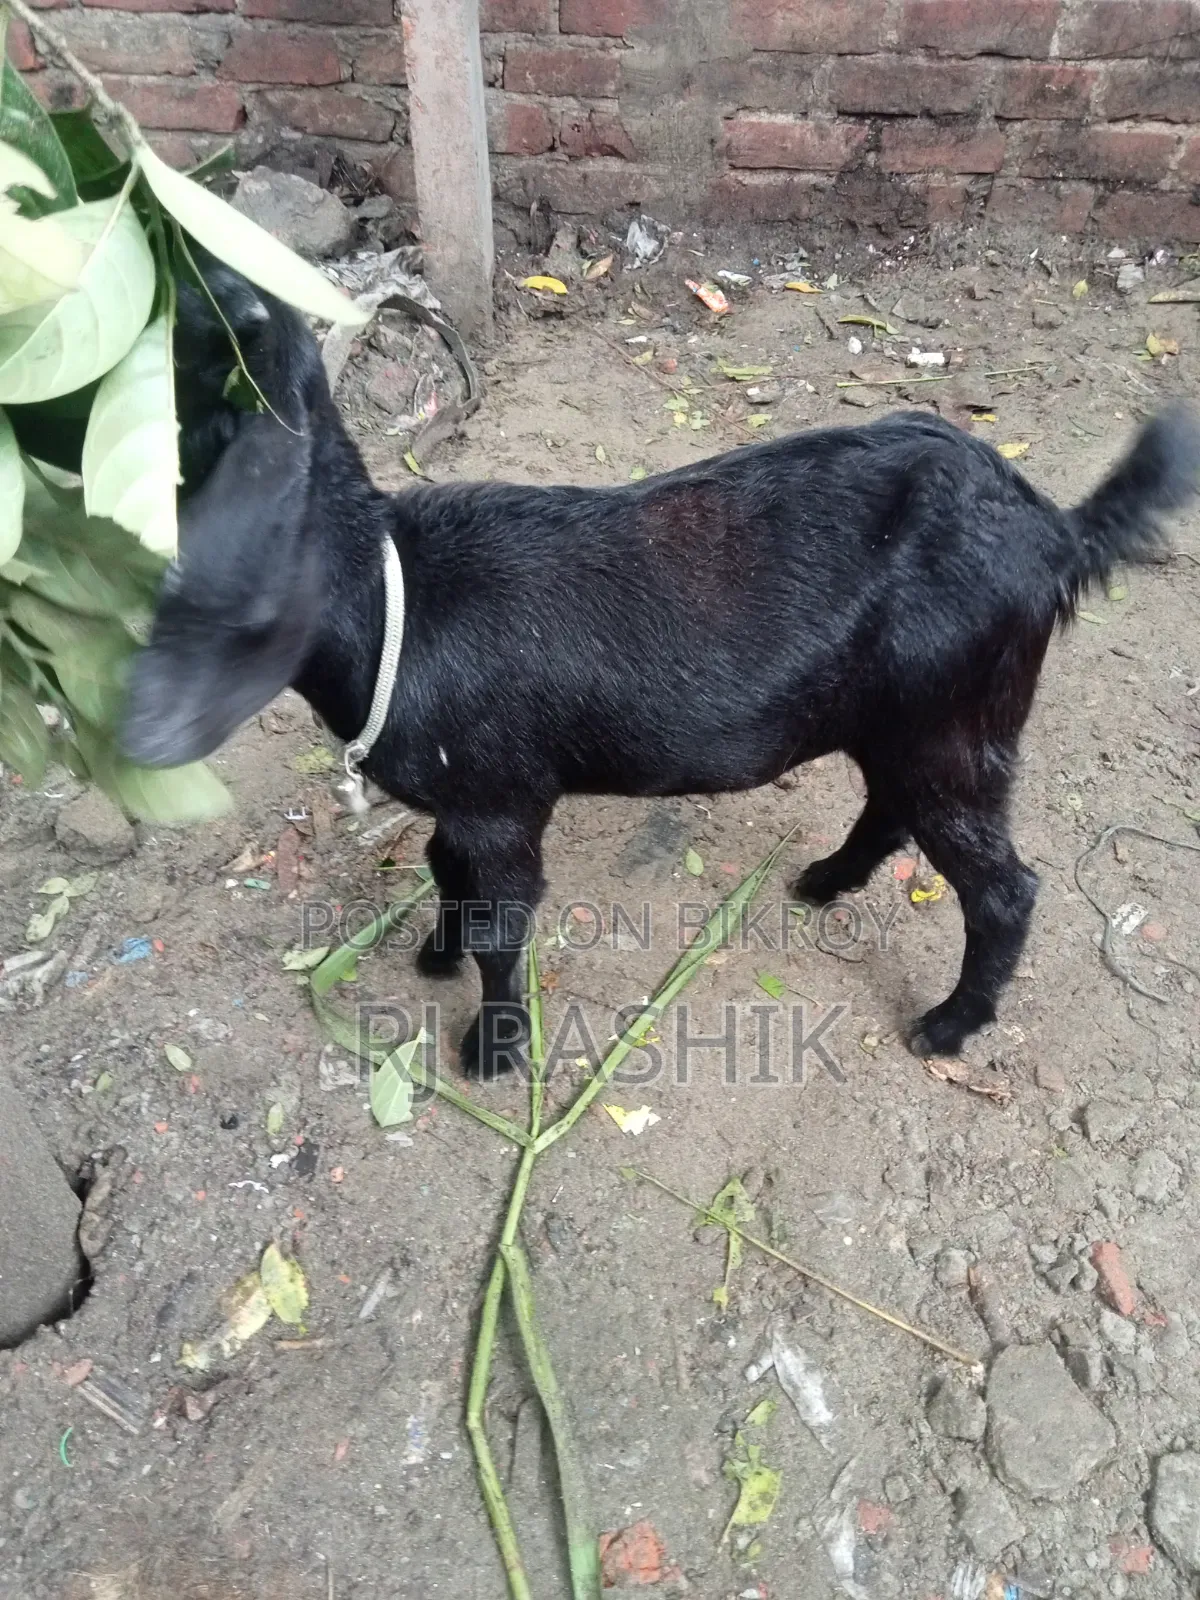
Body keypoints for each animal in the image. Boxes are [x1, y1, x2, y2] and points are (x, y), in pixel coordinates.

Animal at [123, 265, 1200, 1080]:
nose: (145, 732)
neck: (394, 600)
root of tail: (1056, 533)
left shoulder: (502, 799)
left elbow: (502, 919)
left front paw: (492, 1049)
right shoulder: (465, 804)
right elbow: (443, 874)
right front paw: (433, 957)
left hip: (957, 718)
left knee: (1004, 887)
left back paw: (945, 1027)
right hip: (906, 719)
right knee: (893, 807)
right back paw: (824, 882)